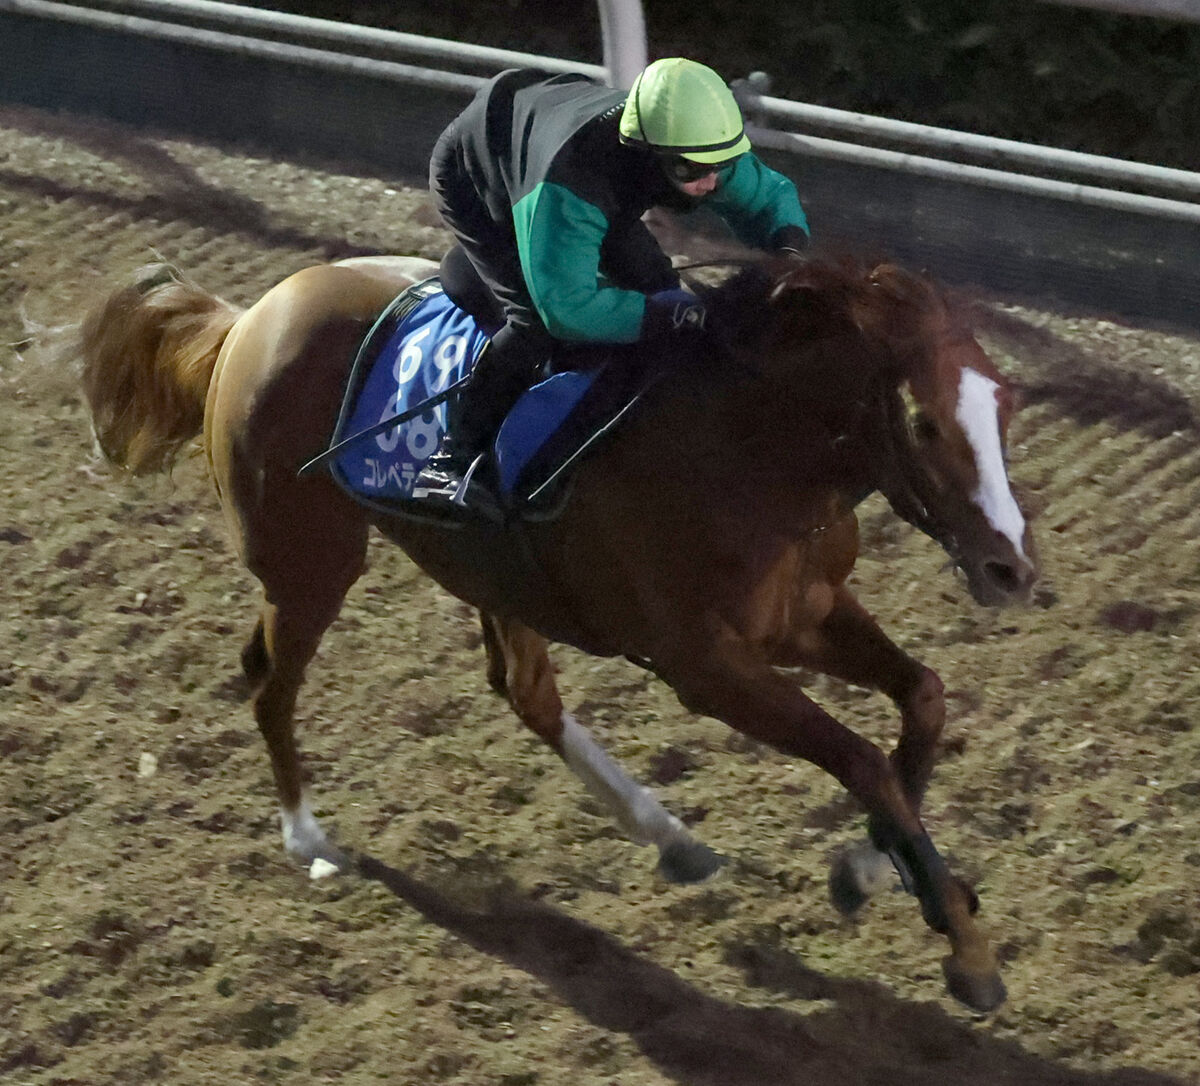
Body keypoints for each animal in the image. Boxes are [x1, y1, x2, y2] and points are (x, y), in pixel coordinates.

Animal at [75, 249, 1036, 1003]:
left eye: (1005, 404)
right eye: (923, 420)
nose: (1011, 569)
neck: (746, 450)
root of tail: (247, 320)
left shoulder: (807, 613)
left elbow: (923, 698)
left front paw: (876, 867)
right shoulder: (706, 665)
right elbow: (861, 759)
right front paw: (966, 951)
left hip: (490, 571)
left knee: (525, 691)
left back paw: (671, 837)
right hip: (311, 564)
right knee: (271, 682)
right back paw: (308, 839)